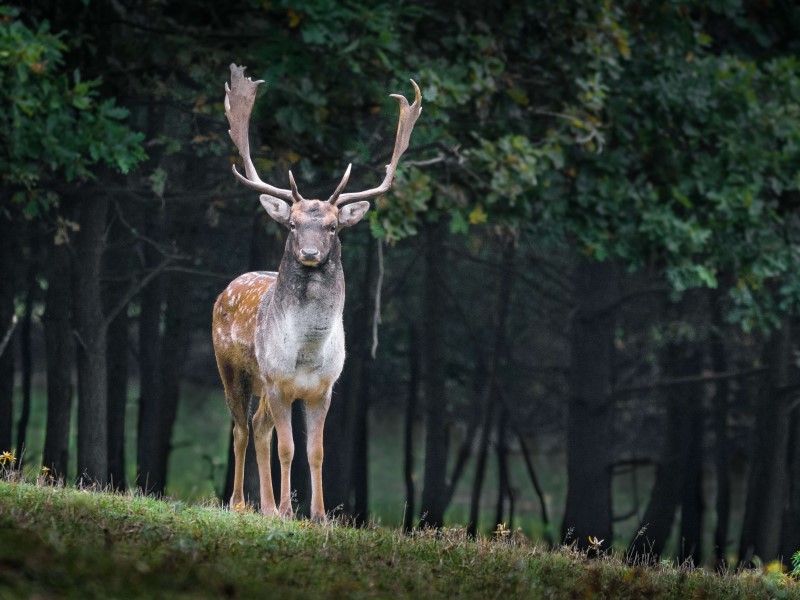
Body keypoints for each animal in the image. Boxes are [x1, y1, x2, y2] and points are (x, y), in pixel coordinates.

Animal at [212, 65, 424, 524]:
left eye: (332, 226)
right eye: (292, 224)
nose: (309, 253)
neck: (307, 353)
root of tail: (227, 288)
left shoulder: (324, 389)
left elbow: (316, 451)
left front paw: (319, 515)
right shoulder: (278, 382)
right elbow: (287, 448)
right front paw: (286, 511)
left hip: (262, 387)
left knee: (258, 427)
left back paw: (265, 506)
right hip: (232, 369)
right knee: (240, 428)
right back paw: (241, 503)